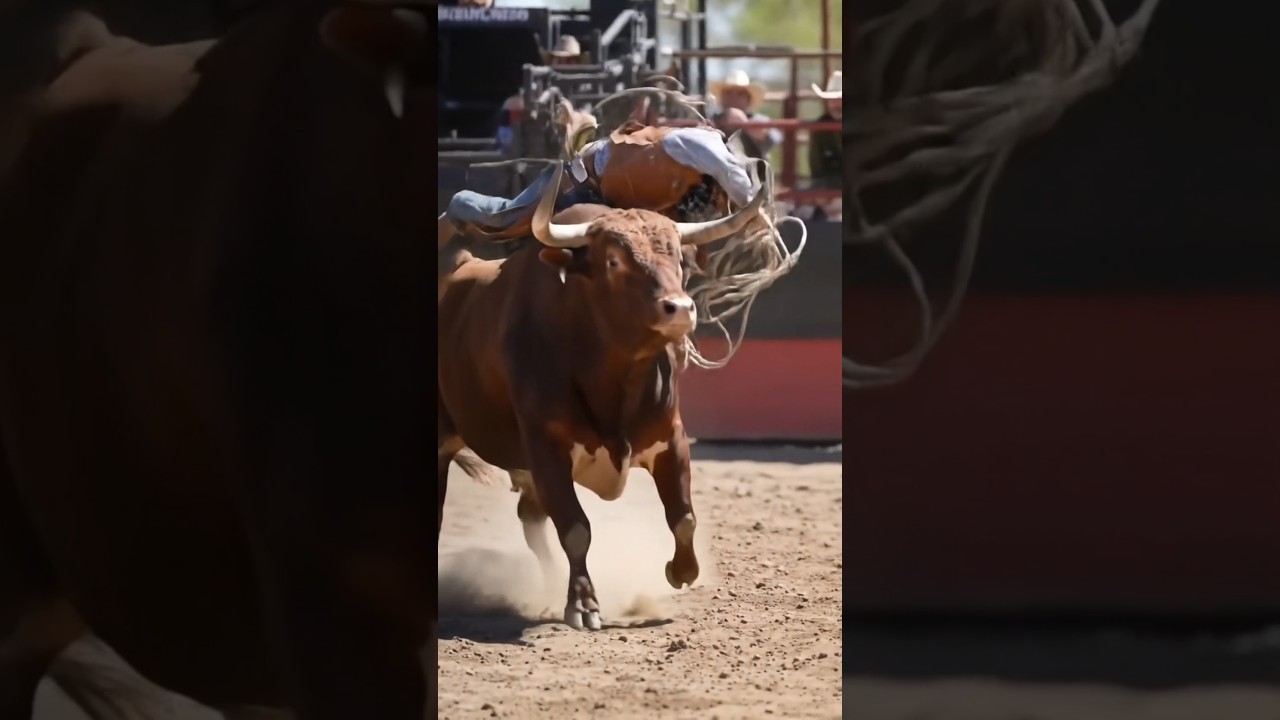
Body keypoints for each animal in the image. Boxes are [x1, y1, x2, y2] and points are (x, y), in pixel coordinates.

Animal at [437, 161, 769, 630]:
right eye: (613, 260)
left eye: (678, 258)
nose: (680, 309)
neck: (614, 379)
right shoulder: (546, 447)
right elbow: (576, 528)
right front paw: (583, 604)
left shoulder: (670, 438)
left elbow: (684, 517)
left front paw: (681, 571)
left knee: (530, 519)